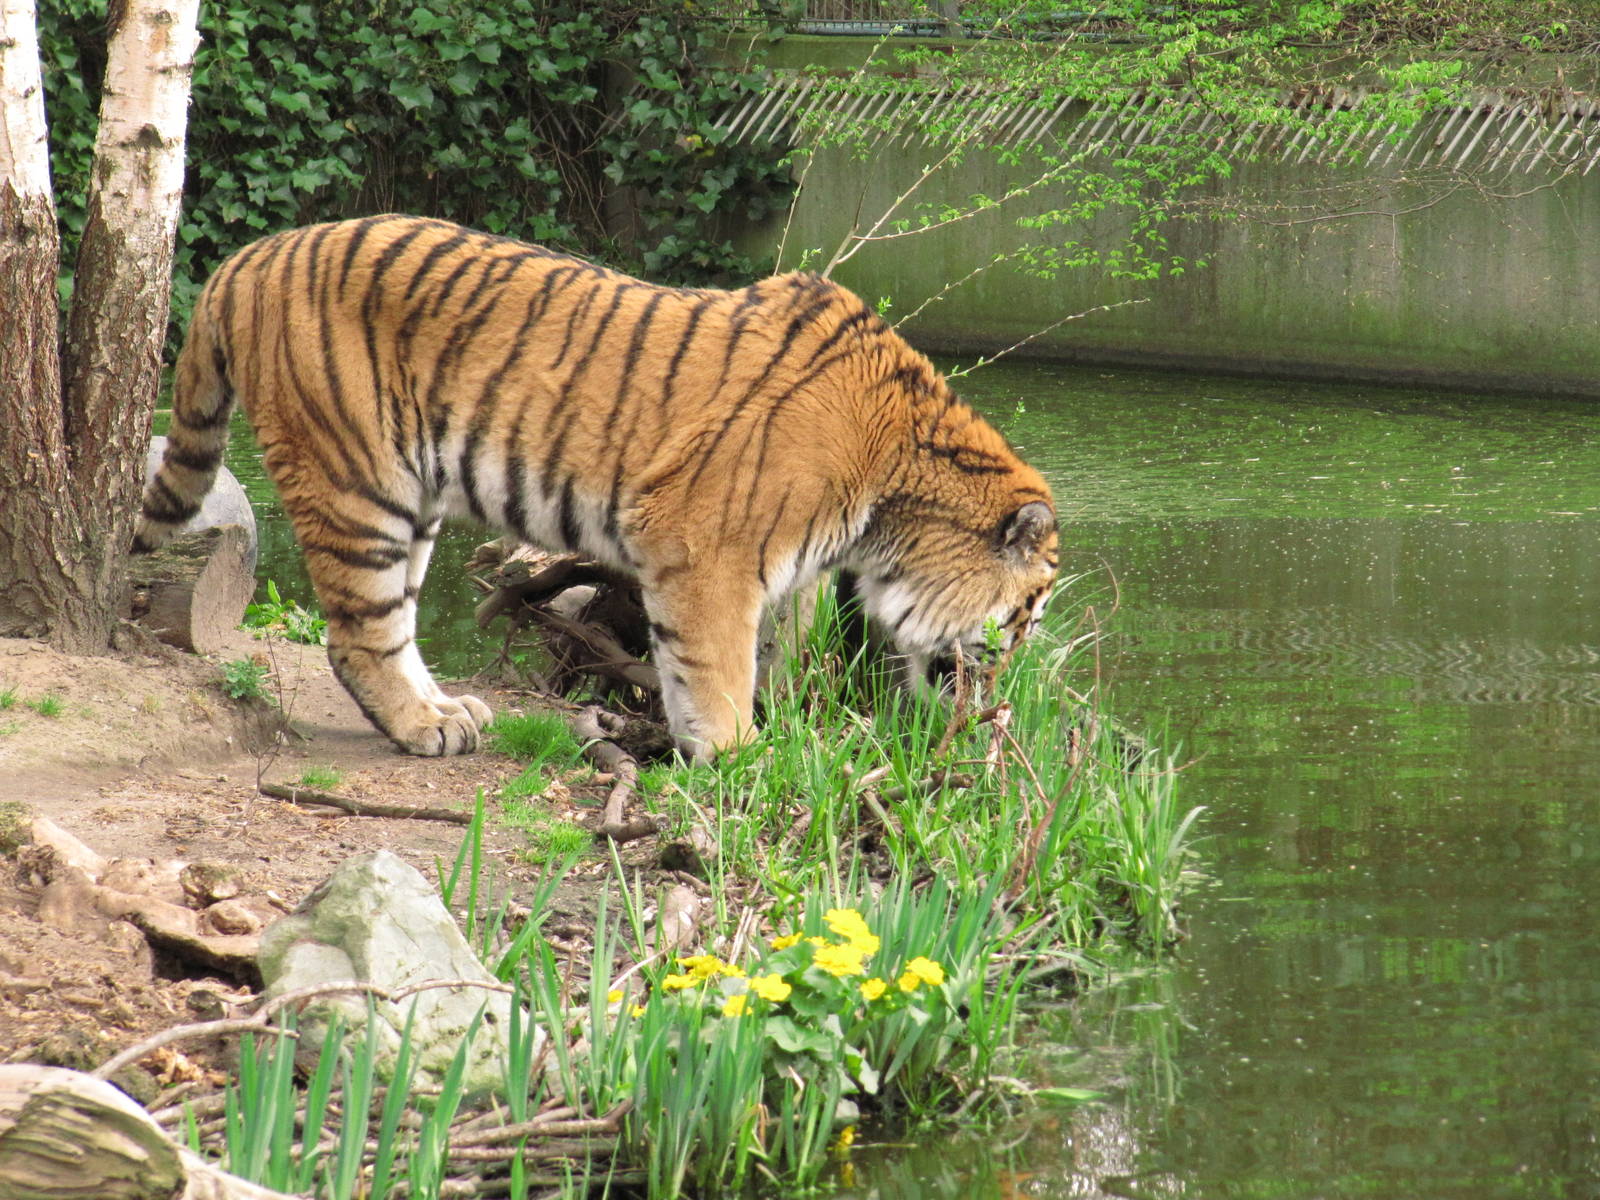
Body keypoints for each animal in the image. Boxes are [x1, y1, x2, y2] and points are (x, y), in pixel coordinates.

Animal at [135, 215, 1059, 760]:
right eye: (1022, 616)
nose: (1000, 702)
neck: (890, 502)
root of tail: (249, 255)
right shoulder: (707, 550)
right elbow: (716, 666)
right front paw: (737, 758)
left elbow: (752, 661)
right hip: (357, 479)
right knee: (358, 630)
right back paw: (423, 728)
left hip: (414, 495)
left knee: (394, 618)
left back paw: (450, 710)